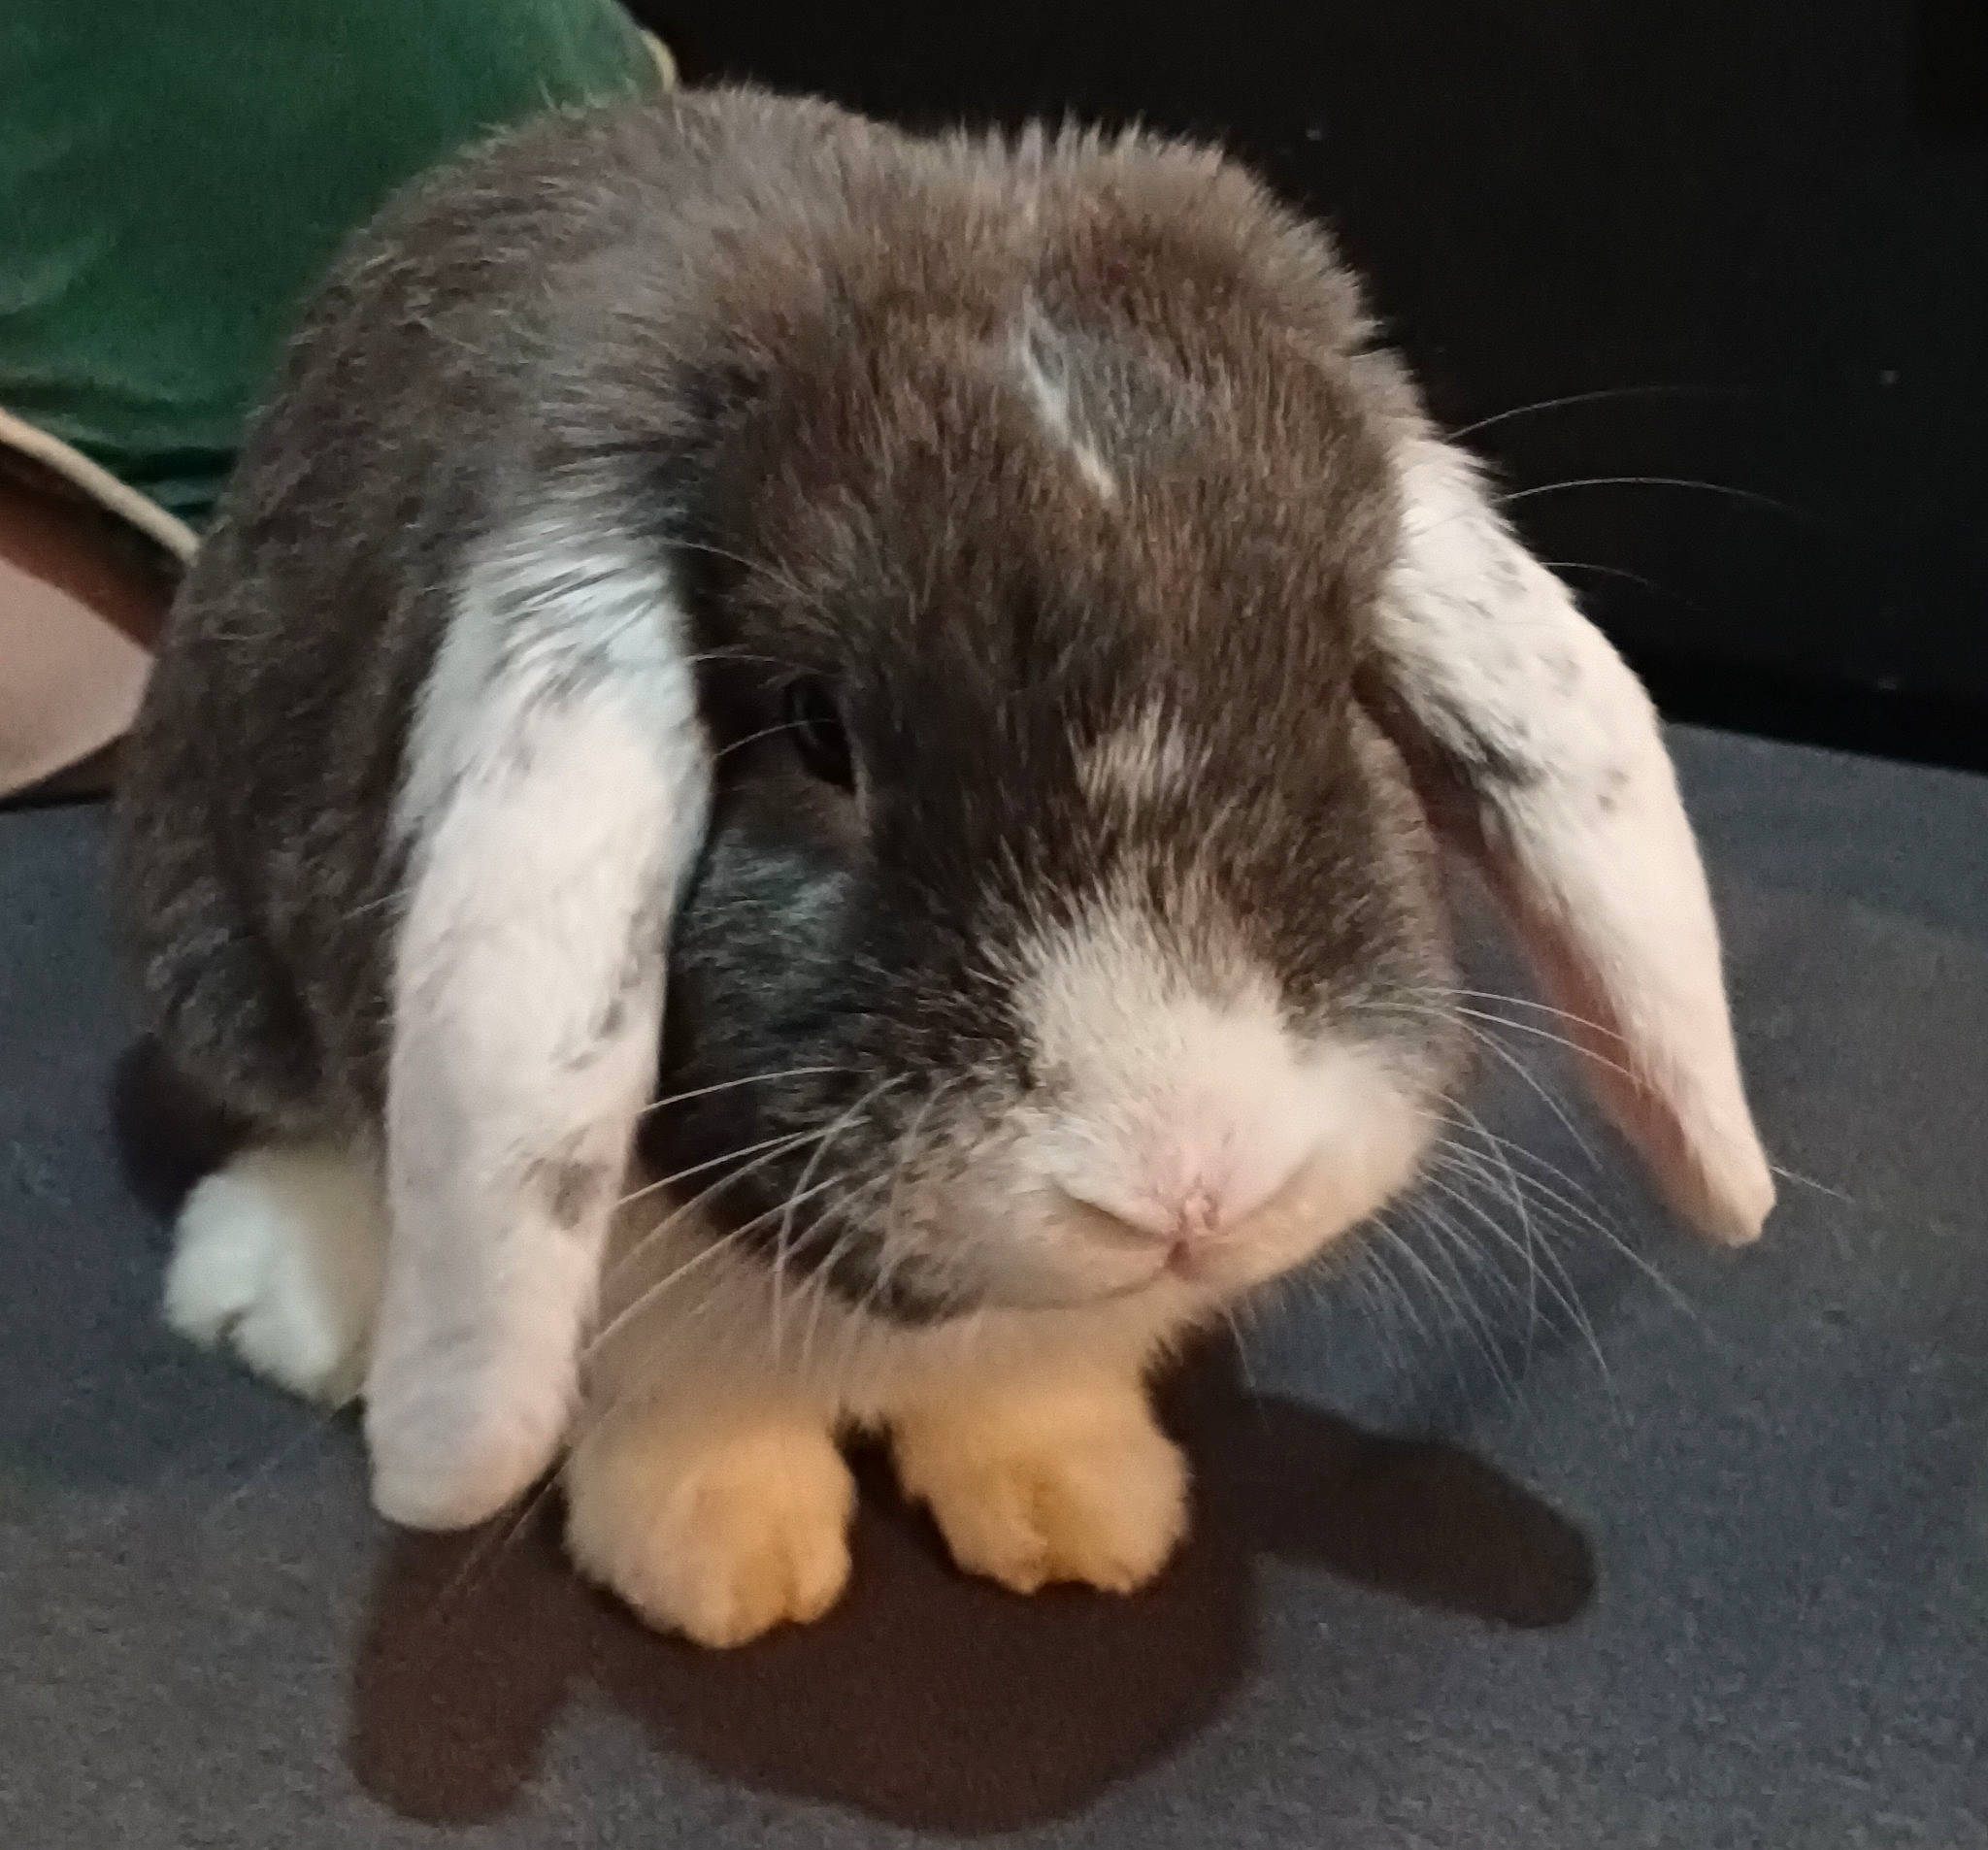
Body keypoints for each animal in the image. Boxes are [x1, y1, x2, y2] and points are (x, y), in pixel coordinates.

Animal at [116, 86, 1774, 1648]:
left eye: (1340, 682)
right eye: (816, 726)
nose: (1191, 1187)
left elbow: (1029, 1391)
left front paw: (1075, 1509)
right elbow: (676, 1381)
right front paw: (725, 1561)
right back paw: (283, 1297)